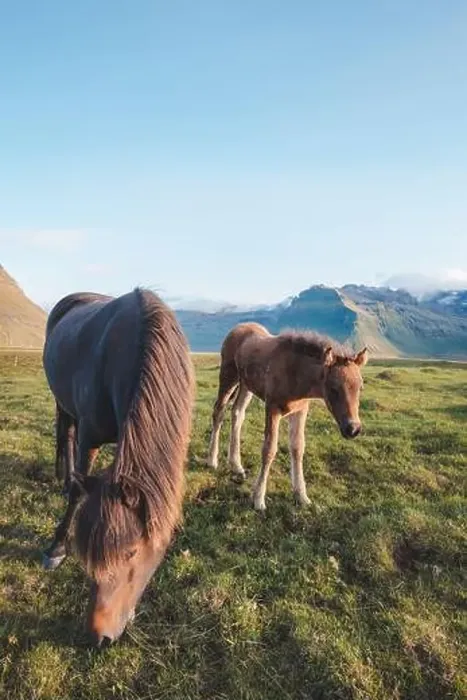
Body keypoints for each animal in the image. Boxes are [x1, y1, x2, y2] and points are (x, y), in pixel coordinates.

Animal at [42, 288, 194, 646]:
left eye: (132, 553)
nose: (99, 637)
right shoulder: (90, 438)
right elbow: (78, 494)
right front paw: (57, 547)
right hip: (63, 403)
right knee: (65, 434)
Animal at [206, 322, 368, 511]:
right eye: (333, 388)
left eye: (360, 387)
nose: (353, 428)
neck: (296, 373)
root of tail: (237, 328)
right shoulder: (272, 408)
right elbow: (269, 450)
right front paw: (258, 499)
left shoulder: (301, 410)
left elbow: (297, 448)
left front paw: (302, 496)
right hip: (228, 376)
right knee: (219, 412)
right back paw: (212, 460)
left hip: (246, 385)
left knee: (237, 414)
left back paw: (236, 465)